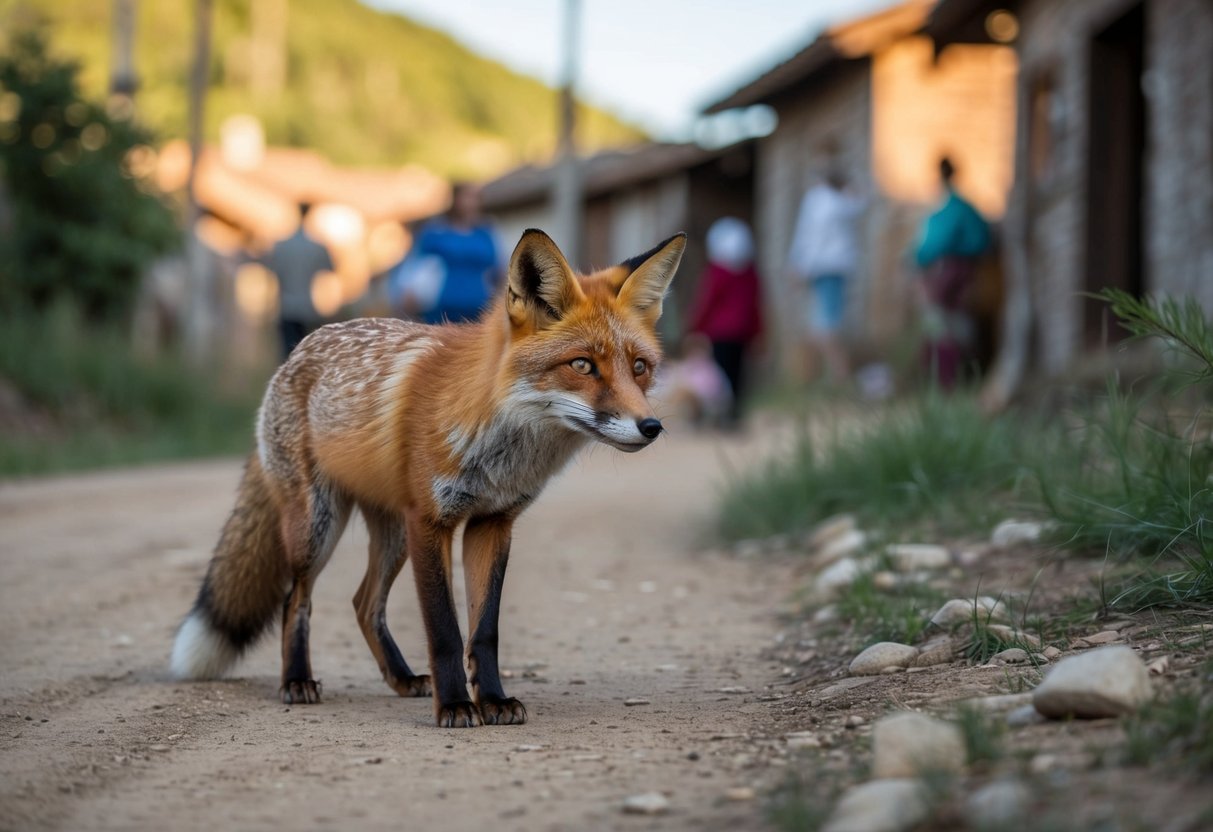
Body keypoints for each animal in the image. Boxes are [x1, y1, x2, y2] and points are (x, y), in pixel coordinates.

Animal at [171, 228, 685, 727]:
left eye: (639, 368)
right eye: (582, 365)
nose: (651, 427)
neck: (497, 441)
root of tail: (294, 356)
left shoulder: (491, 523)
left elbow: (484, 631)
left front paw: (492, 701)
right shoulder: (431, 522)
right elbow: (444, 631)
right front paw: (456, 705)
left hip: (393, 535)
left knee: (364, 603)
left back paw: (401, 678)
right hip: (319, 528)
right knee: (295, 599)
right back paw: (297, 680)